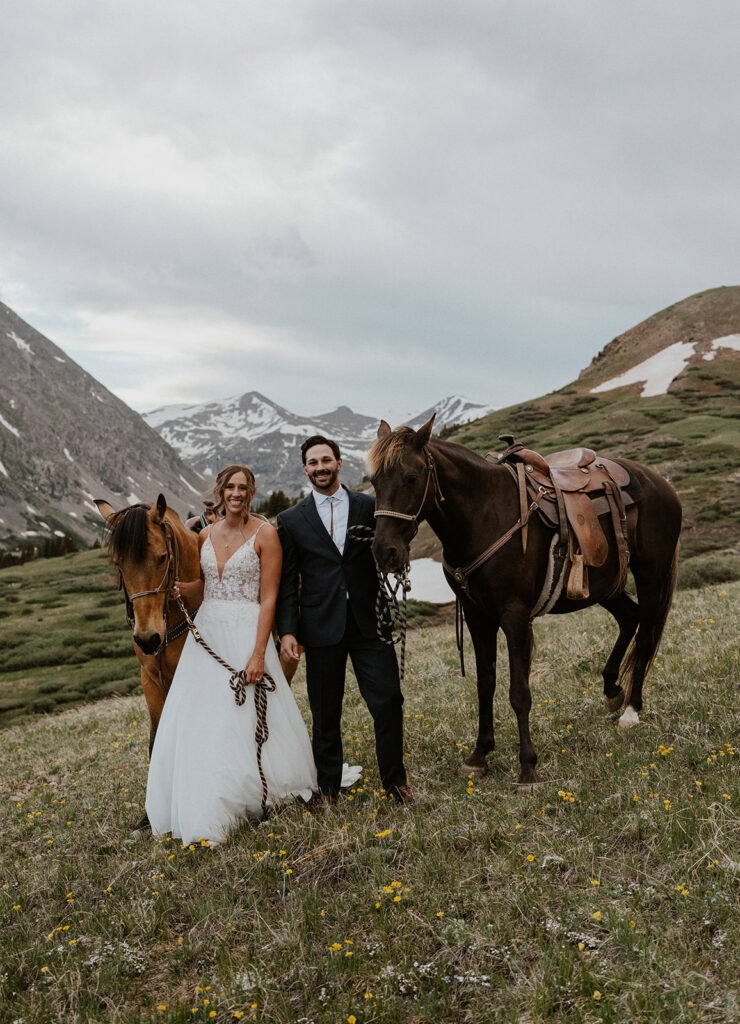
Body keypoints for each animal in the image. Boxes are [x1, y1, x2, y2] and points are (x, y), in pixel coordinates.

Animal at [370, 419, 683, 786]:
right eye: (374, 482)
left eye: (410, 477)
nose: (384, 552)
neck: (483, 515)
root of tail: (661, 483)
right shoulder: (478, 617)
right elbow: (485, 684)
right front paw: (479, 755)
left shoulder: (515, 616)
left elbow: (519, 692)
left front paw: (528, 767)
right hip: (604, 585)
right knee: (629, 618)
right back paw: (611, 689)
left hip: (652, 573)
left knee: (646, 634)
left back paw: (632, 710)